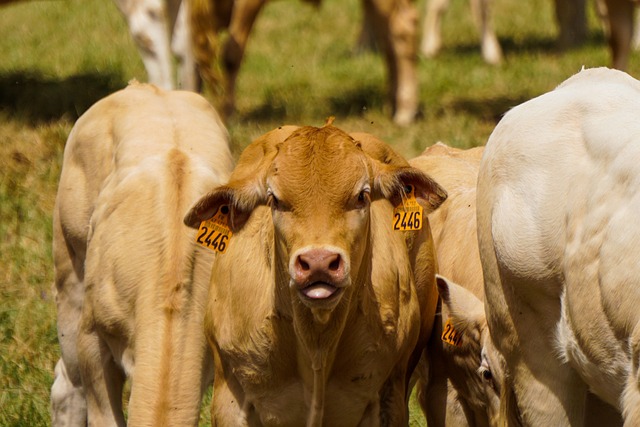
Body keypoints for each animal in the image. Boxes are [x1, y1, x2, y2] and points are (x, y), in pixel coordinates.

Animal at [182, 122, 448, 426]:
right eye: (274, 200)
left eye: (362, 195)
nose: (318, 262)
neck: (317, 346)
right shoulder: (229, 396)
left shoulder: (388, 397)